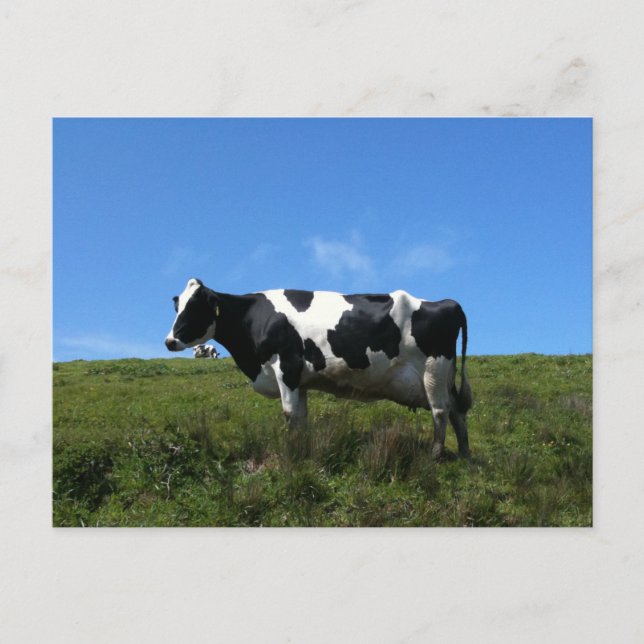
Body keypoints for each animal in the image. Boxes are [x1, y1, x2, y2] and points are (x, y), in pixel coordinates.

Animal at [165, 278, 472, 458]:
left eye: (196, 307)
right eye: (178, 306)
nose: (169, 341)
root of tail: (448, 303)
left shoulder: (286, 367)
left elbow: (289, 415)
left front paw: (291, 454)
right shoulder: (298, 380)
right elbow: (301, 418)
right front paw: (302, 450)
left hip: (434, 370)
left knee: (441, 411)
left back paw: (435, 456)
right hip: (446, 375)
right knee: (457, 411)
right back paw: (464, 454)